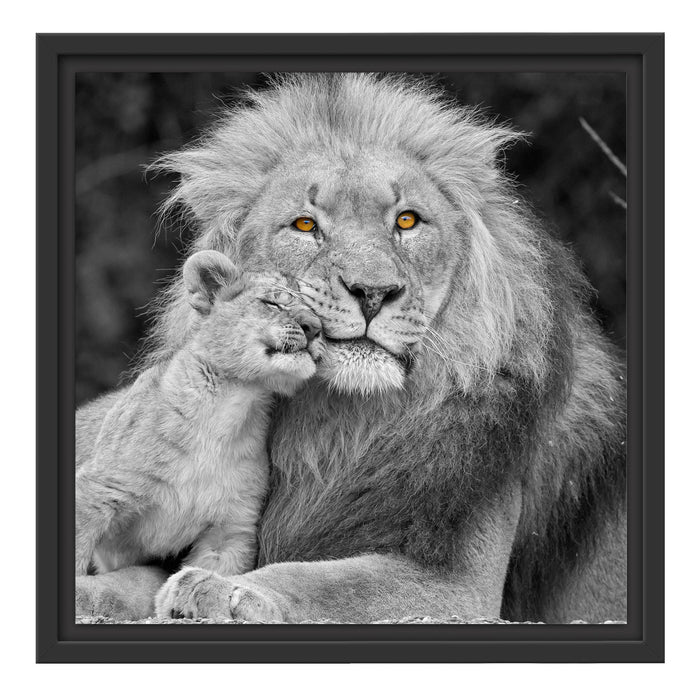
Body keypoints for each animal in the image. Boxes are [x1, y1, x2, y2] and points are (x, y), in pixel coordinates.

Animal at [76, 73, 626, 623]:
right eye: (305, 225)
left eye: (407, 221)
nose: (373, 292)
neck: (340, 426)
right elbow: (134, 572)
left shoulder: (461, 584)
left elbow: (324, 580)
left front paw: (223, 590)